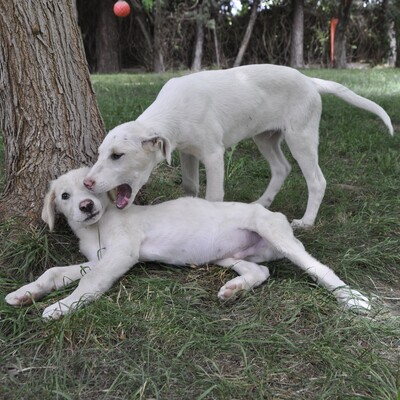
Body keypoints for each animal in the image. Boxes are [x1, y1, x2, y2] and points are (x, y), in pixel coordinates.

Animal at [5, 166, 368, 318]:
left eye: (90, 187)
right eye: (65, 196)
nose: (85, 206)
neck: (96, 226)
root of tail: (275, 214)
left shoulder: (121, 254)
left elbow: (90, 283)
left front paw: (61, 307)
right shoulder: (99, 258)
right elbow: (55, 272)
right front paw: (25, 294)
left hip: (275, 234)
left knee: (320, 269)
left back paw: (354, 300)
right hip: (229, 255)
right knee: (260, 272)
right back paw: (234, 289)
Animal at [83, 65, 394, 228]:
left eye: (118, 156)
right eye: (100, 154)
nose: (87, 183)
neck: (173, 112)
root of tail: (309, 80)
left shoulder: (213, 154)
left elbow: (213, 195)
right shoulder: (186, 152)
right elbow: (190, 187)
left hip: (301, 136)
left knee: (317, 180)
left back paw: (306, 221)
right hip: (266, 136)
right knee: (281, 168)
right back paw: (261, 203)